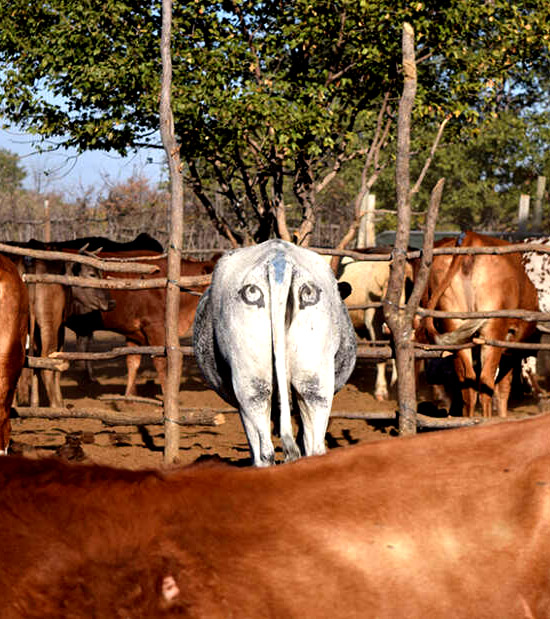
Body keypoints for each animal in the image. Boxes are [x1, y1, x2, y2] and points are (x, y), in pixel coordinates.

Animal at [418, 230, 540, 418]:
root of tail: (471, 236)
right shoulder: (510, 349)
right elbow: (503, 388)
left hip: (454, 326)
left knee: (467, 383)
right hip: (492, 332)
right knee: (485, 381)